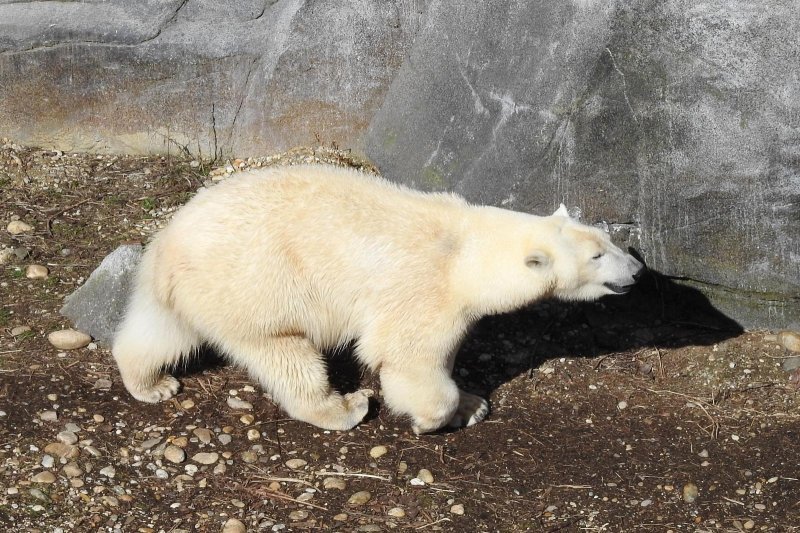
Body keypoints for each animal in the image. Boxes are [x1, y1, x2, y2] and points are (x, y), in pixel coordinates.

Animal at [111, 165, 644, 432]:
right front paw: (435, 418)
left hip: (191, 289)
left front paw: (473, 404)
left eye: (610, 240)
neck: (464, 249)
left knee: (161, 332)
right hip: (256, 282)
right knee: (286, 354)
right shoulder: (425, 290)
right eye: (598, 255)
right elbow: (405, 357)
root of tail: (166, 244)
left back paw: (151, 384)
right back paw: (343, 408)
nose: (638, 270)